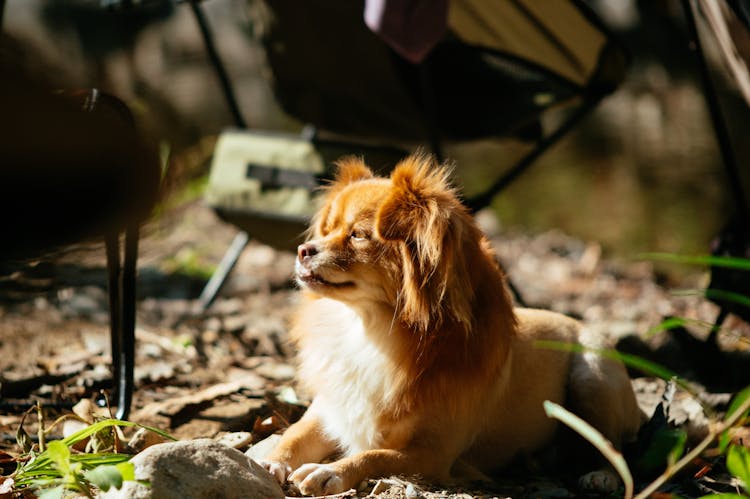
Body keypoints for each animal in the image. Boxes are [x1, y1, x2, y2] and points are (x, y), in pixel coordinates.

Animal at [262, 155, 644, 496]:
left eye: (357, 235)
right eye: (326, 231)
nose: (304, 250)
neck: (369, 333)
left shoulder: (430, 455)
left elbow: (373, 454)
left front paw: (331, 471)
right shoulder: (329, 410)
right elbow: (291, 435)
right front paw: (268, 463)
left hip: (593, 376)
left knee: (614, 448)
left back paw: (601, 476)